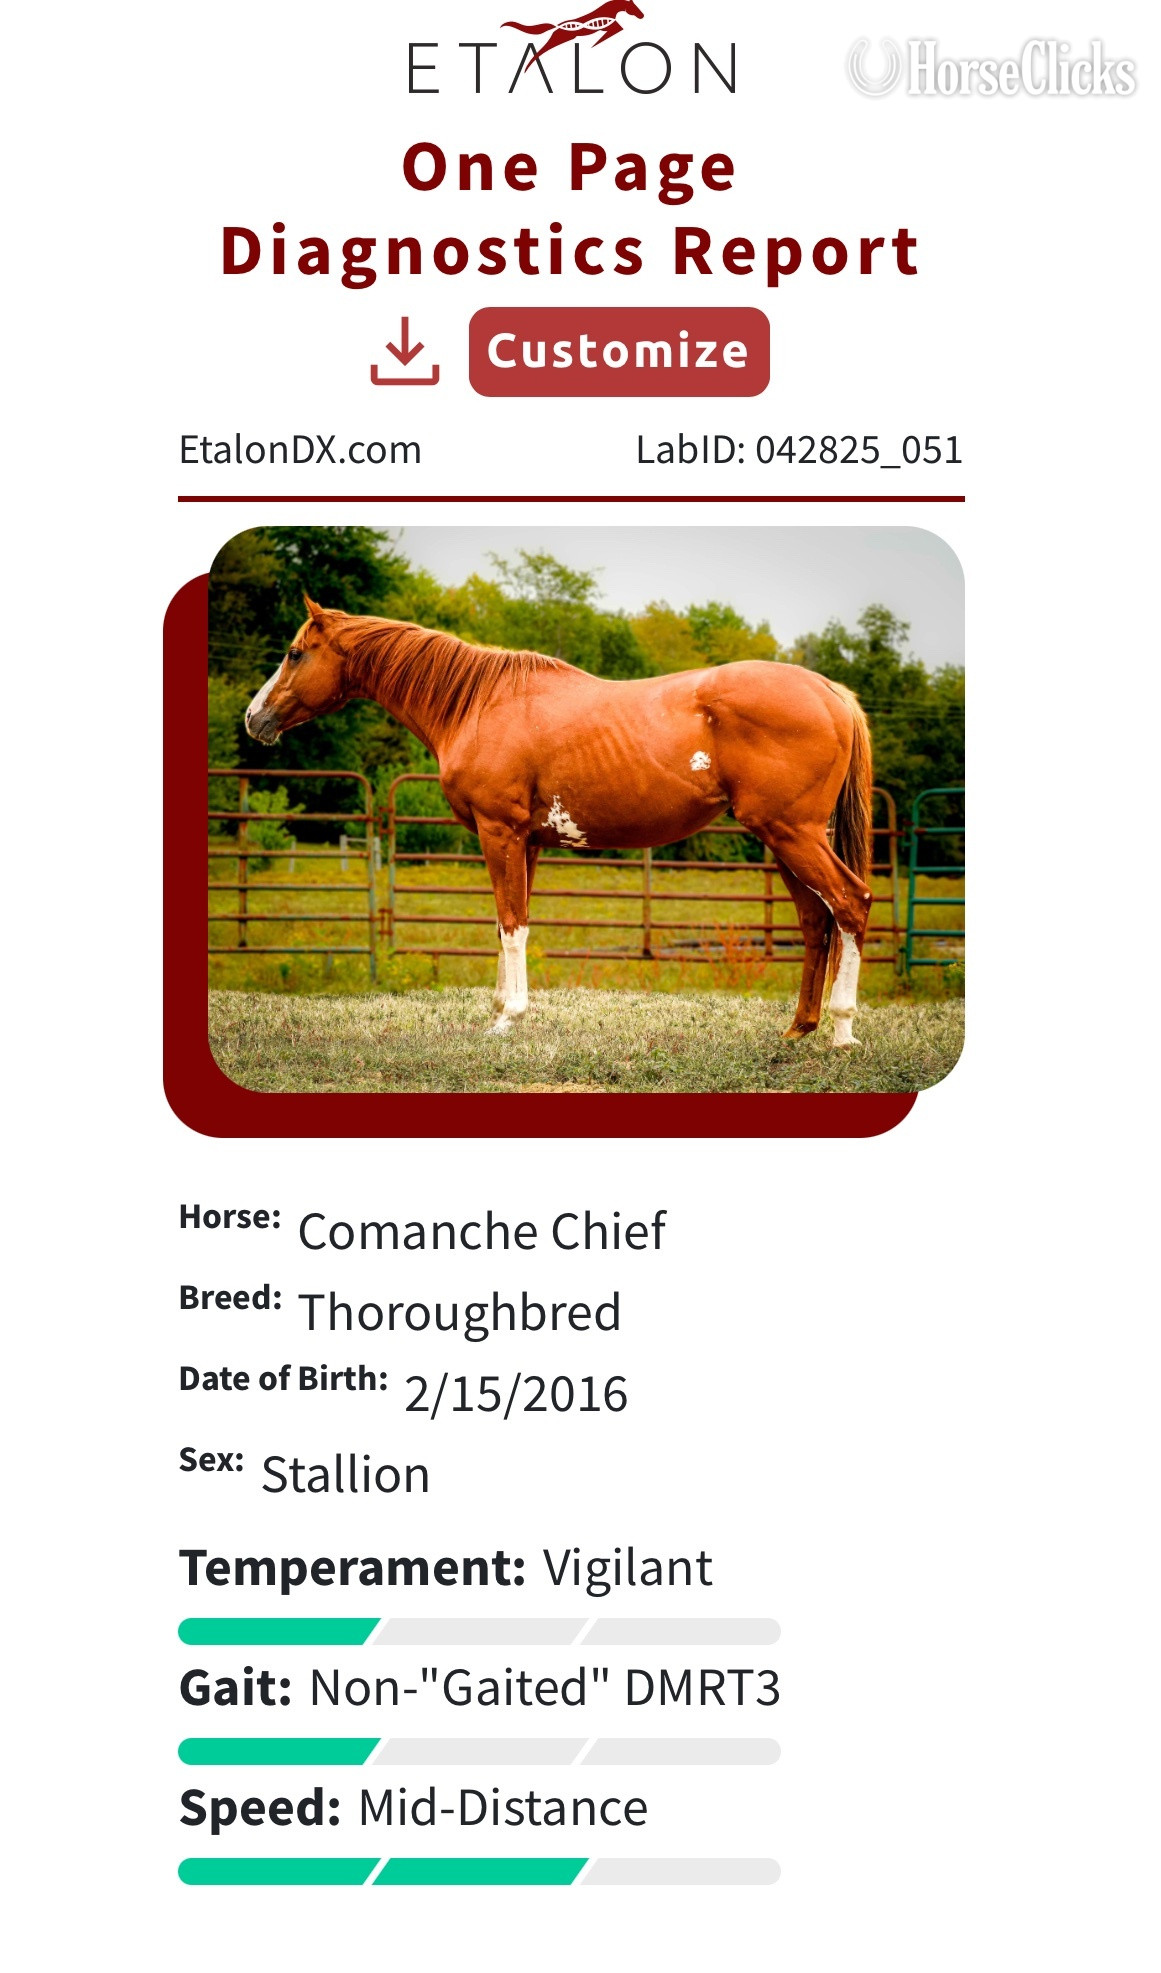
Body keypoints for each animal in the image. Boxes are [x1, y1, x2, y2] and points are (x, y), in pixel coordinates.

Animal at [245, 599, 874, 1044]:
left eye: (295, 653)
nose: (254, 718)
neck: (478, 703)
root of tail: (829, 691)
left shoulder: (500, 832)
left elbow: (511, 922)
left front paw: (508, 1020)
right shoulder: (528, 843)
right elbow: (508, 925)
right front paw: (501, 1010)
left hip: (792, 835)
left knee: (851, 904)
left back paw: (842, 1032)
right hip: (786, 839)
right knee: (816, 922)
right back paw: (798, 1029)